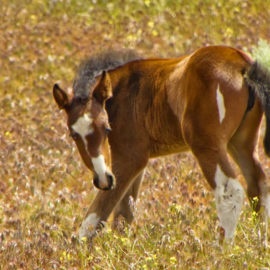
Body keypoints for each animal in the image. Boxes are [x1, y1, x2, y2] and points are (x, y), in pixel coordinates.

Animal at [53, 45, 270, 242]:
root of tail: (242, 63)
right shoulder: (137, 163)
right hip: (241, 143)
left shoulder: (130, 157)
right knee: (258, 185)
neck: (121, 93)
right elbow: (124, 213)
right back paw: (259, 242)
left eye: (107, 128)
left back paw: (221, 251)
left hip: (206, 145)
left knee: (230, 192)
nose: (102, 179)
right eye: (74, 135)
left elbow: (97, 214)